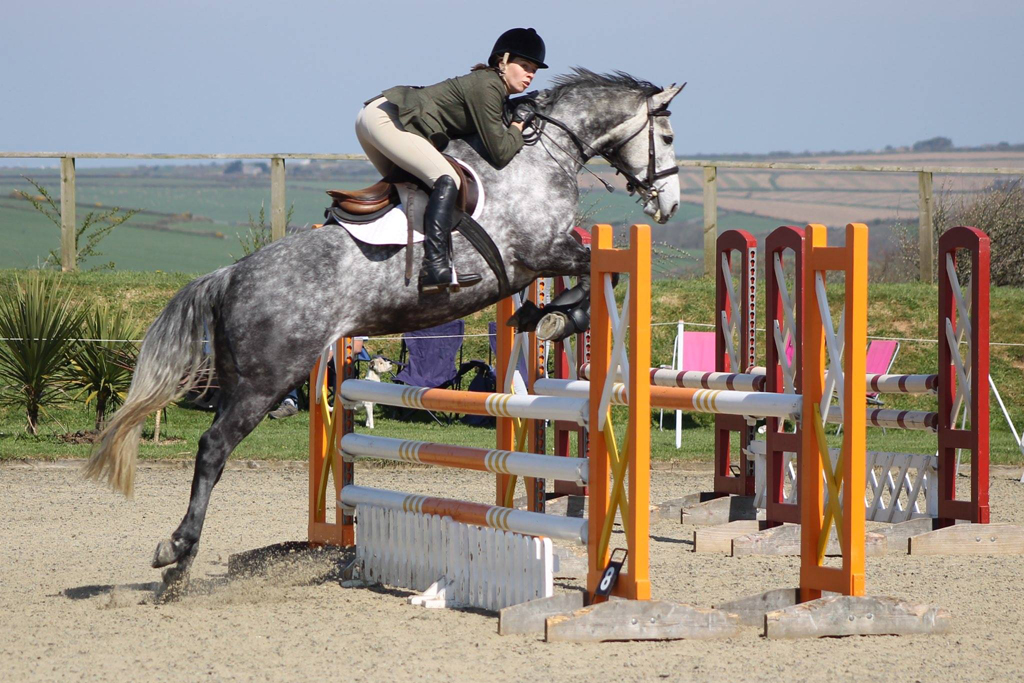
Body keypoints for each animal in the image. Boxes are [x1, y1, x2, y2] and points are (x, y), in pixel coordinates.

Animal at [83, 69, 684, 585]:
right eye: (669, 135)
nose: (671, 206)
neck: (538, 158)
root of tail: (231, 274)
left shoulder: (538, 259)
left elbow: (586, 273)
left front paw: (540, 315)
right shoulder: (539, 250)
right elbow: (595, 268)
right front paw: (559, 316)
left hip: (242, 378)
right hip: (267, 380)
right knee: (213, 447)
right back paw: (176, 553)